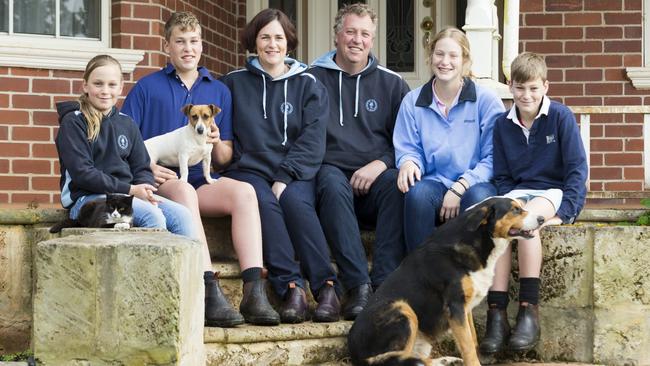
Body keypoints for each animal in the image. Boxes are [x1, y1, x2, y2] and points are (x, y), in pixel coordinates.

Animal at [346, 197, 544, 366]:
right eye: (515, 210)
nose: (542, 218)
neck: (476, 240)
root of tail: (355, 354)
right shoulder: (455, 306)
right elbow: (468, 347)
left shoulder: (465, 309)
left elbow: (472, 339)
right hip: (403, 309)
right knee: (398, 360)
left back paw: (445, 361)